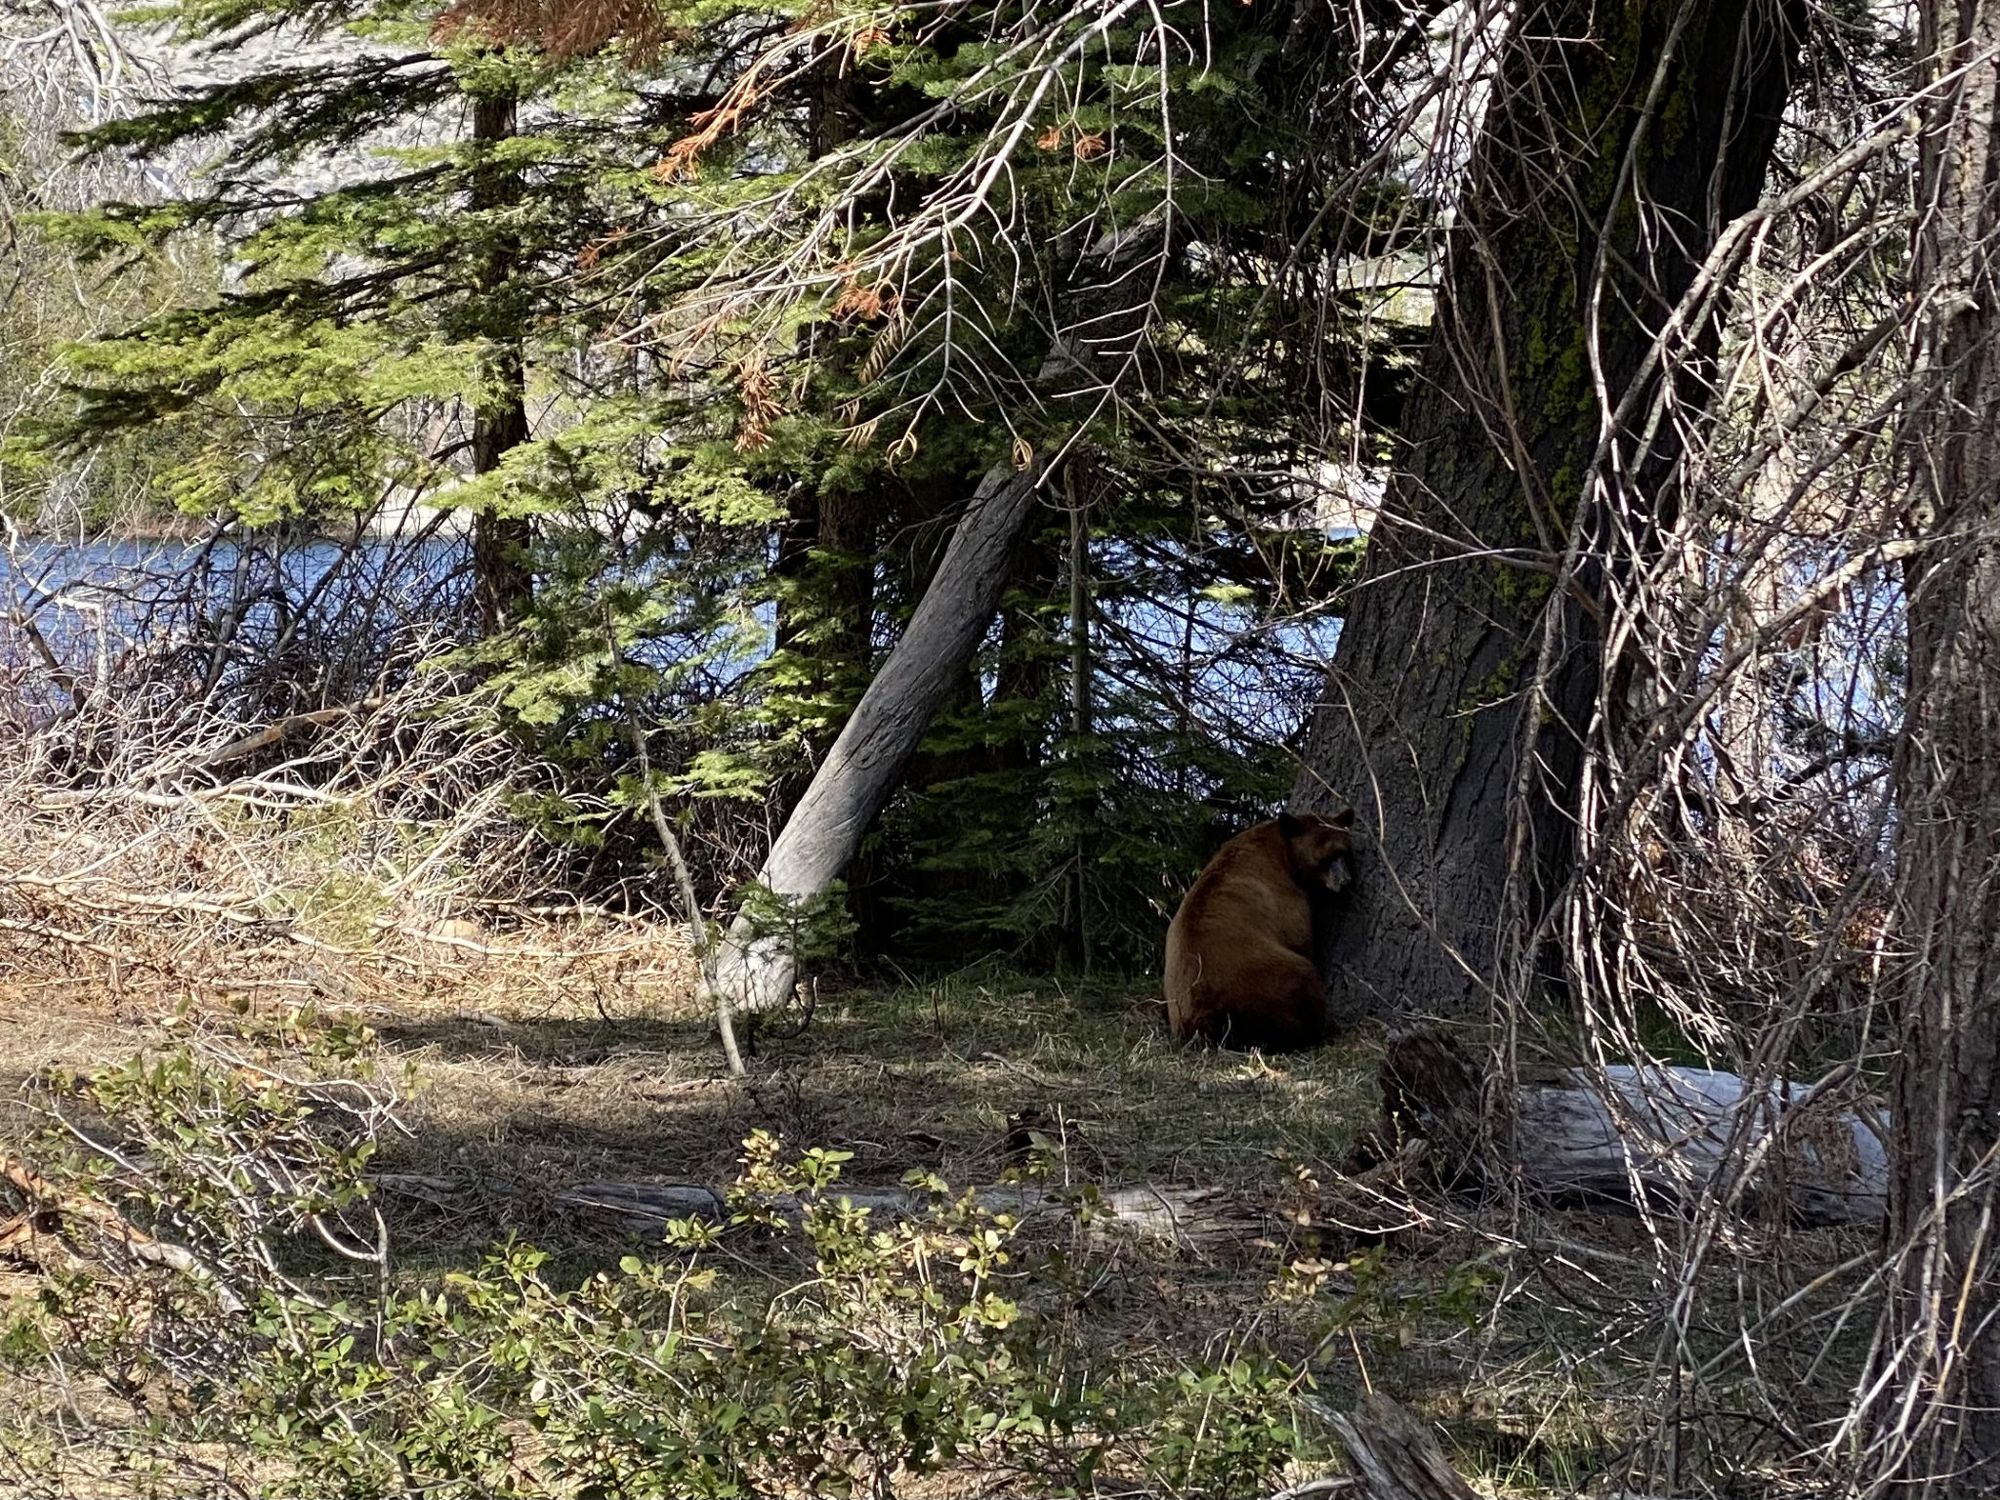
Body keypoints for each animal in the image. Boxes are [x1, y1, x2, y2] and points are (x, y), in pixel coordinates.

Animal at [1163, 809, 1354, 1051]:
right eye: (1325, 857)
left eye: (1344, 852)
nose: (1345, 881)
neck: (1282, 850)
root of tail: (1207, 1021)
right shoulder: (1287, 897)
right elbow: (1301, 938)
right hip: (1268, 982)